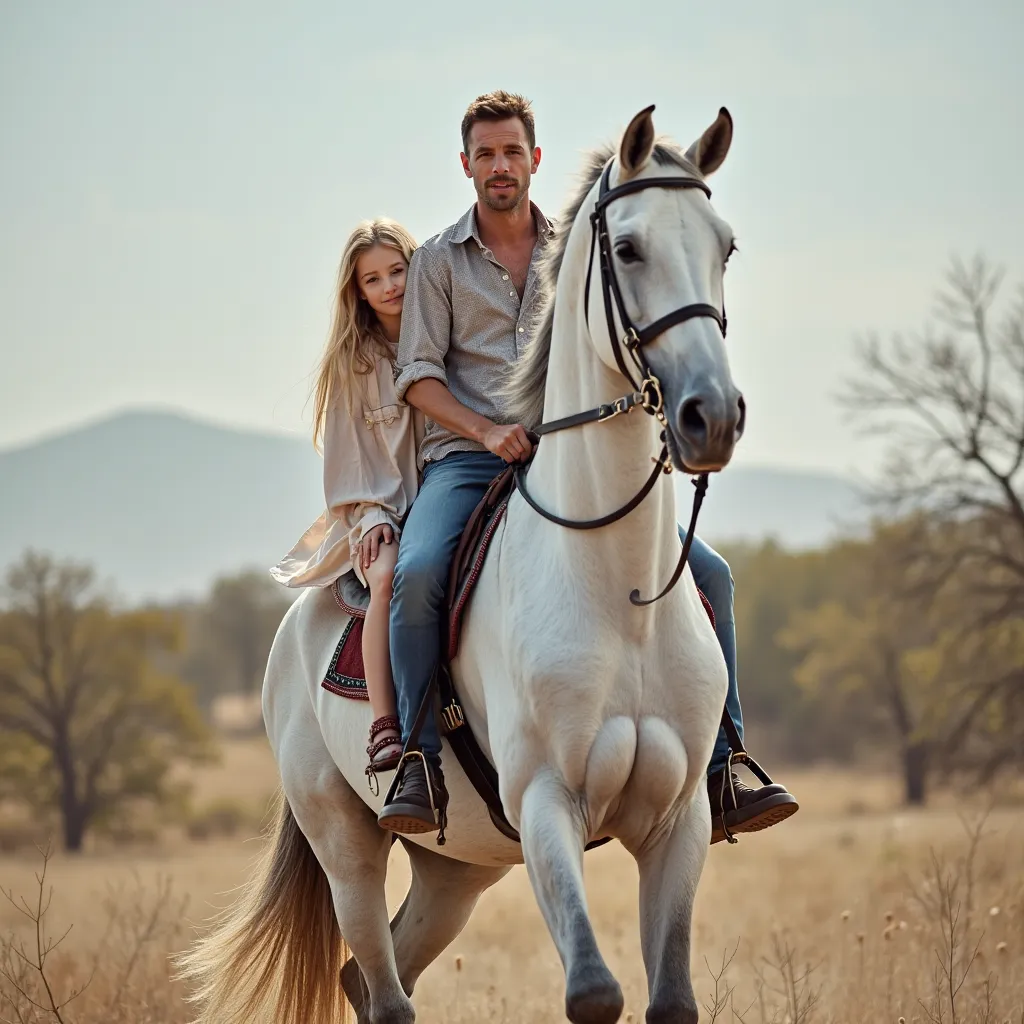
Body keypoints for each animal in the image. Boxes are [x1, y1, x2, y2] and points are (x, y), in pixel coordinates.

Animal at [180, 105, 745, 1024]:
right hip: (347, 846)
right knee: (381, 988)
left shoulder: (678, 822)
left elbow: (671, 1001)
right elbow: (593, 991)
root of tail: (297, 625)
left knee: (370, 978)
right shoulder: (549, 804)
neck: (615, 588)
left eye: (724, 246)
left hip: (458, 872)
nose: (713, 415)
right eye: (628, 249)